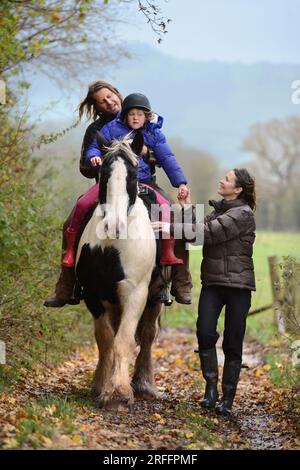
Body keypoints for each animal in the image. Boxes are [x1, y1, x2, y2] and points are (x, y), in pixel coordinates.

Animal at [76, 133, 163, 408]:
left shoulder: (136, 294)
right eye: (103, 173)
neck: (112, 245)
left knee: (147, 335)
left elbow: (124, 340)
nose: (113, 225)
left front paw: (120, 392)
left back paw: (144, 384)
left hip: (155, 297)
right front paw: (103, 387)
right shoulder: (93, 294)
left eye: (133, 176)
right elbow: (106, 339)